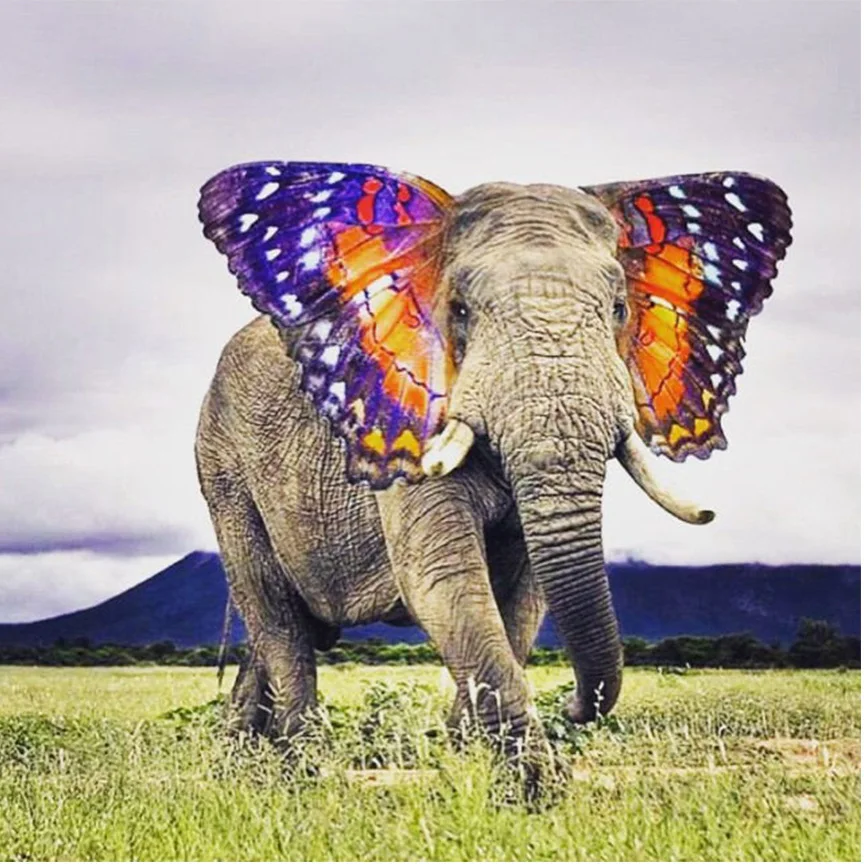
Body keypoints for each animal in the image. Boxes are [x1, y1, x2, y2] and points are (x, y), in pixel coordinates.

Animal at [195, 162, 791, 762]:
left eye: (619, 309)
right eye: (459, 310)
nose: (574, 706)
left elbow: (524, 600)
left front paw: (465, 754)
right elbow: (444, 578)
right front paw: (529, 781)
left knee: (281, 631)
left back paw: (243, 751)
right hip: (222, 467)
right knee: (275, 615)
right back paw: (302, 759)